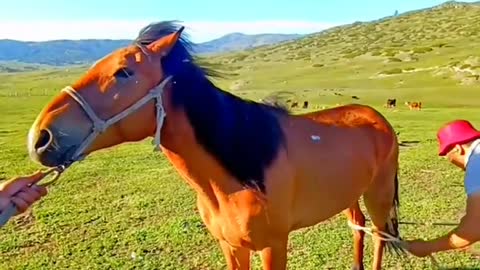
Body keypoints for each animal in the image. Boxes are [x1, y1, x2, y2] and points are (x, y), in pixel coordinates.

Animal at [26, 21, 402, 270]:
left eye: (123, 72)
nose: (40, 137)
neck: (237, 176)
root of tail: (376, 116)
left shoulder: (273, 246)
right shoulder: (230, 245)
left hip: (378, 194)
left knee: (379, 236)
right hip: (350, 195)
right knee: (357, 229)